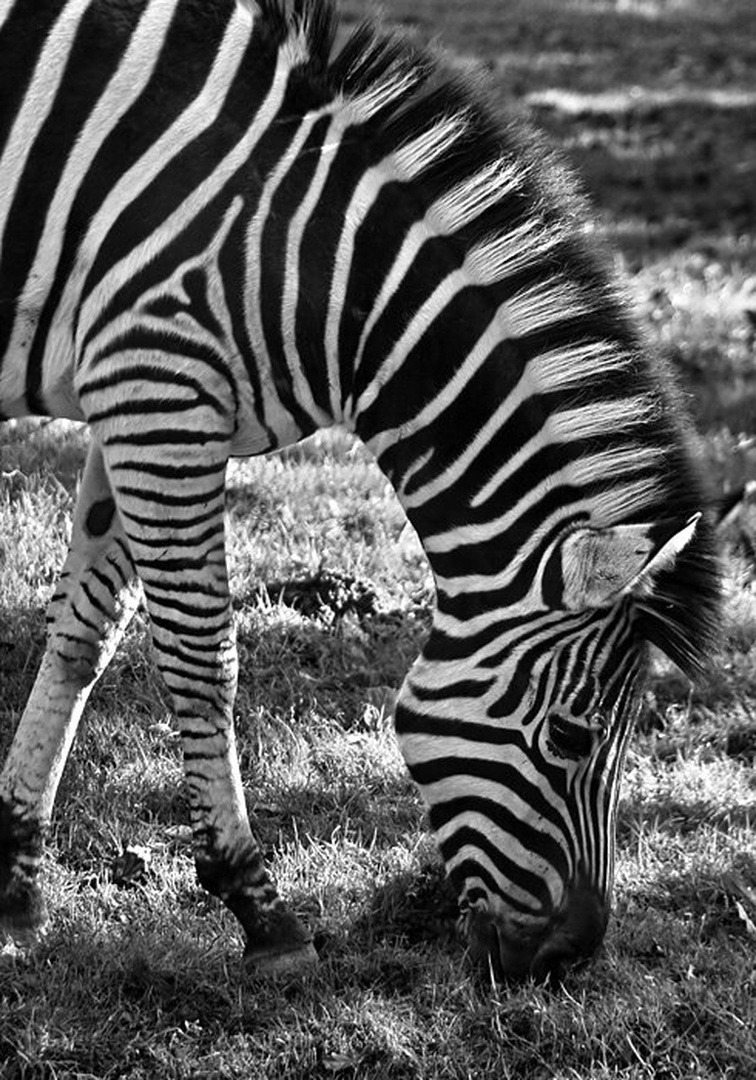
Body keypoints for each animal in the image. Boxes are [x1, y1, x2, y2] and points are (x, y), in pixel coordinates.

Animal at [0, 0, 720, 982]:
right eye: (572, 739)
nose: (568, 959)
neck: (318, 261)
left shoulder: (135, 392)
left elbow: (83, 636)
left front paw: (14, 885)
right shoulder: (161, 384)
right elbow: (201, 656)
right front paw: (260, 909)